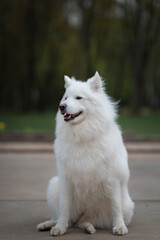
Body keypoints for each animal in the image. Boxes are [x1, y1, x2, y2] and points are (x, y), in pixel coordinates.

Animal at [37, 71, 134, 236]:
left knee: (83, 221)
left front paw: (120, 227)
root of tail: (82, 216)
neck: (83, 135)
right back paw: (48, 224)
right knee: (65, 219)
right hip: (54, 185)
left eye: (78, 98)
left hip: (124, 206)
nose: (61, 107)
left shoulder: (113, 179)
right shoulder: (65, 179)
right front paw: (60, 228)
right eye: (65, 98)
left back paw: (88, 227)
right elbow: (64, 208)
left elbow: (116, 207)